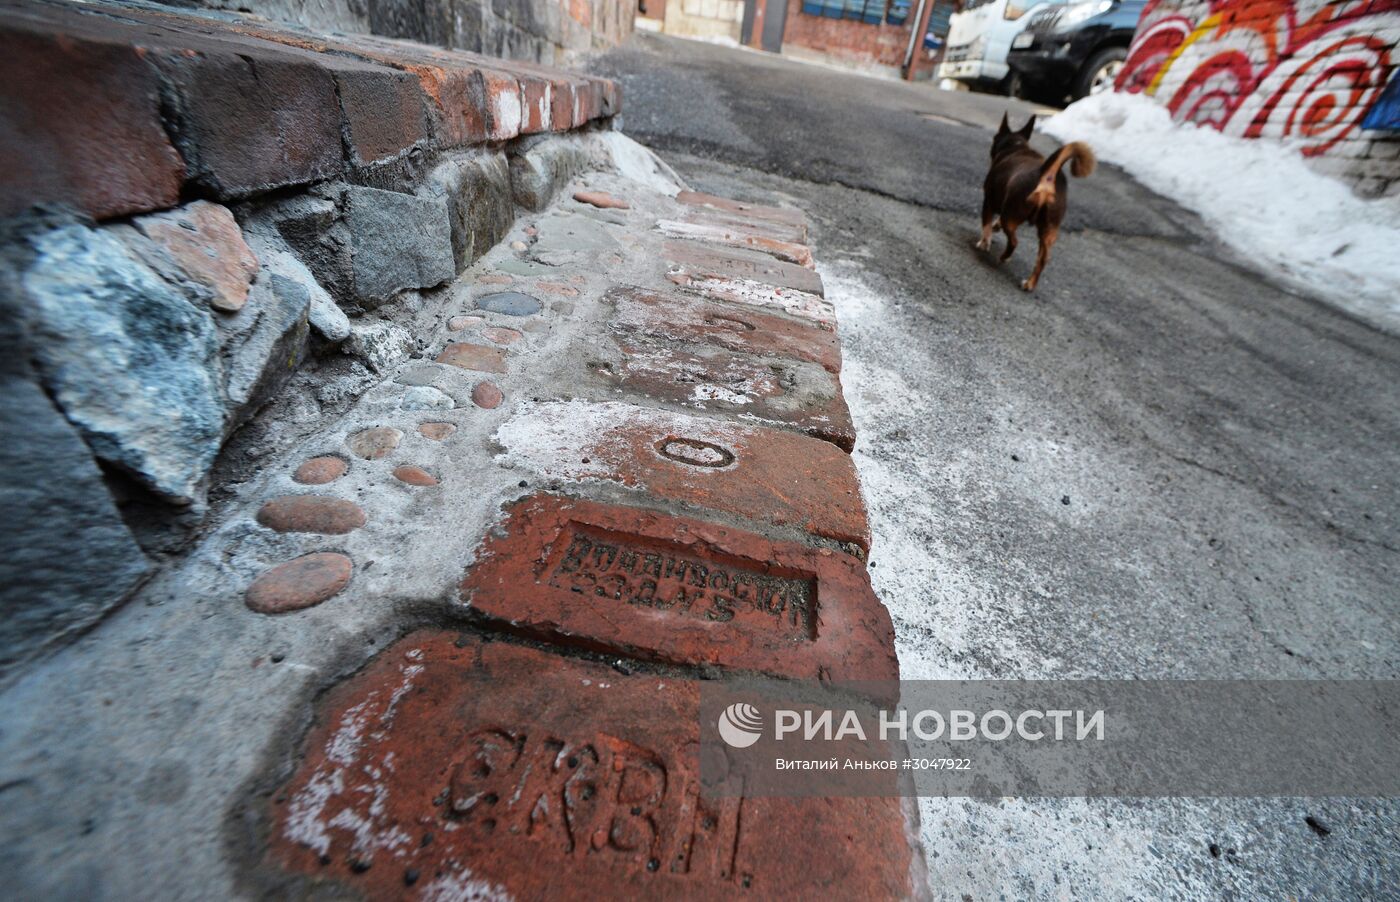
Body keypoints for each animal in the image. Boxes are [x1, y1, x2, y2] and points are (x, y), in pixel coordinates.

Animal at [974, 110, 1092, 291]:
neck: (1016, 146)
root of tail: (1047, 173)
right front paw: (994, 227)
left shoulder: (988, 201)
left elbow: (986, 225)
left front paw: (983, 243)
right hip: (1049, 229)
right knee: (1043, 258)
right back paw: (1029, 284)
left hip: (1012, 216)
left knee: (1014, 241)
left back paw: (1004, 257)